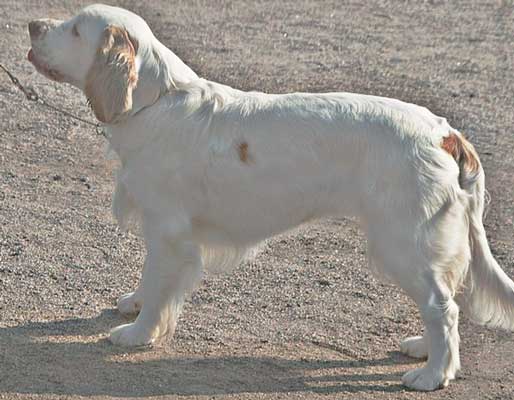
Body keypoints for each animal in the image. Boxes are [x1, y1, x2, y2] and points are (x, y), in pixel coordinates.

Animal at [27, 3, 512, 390]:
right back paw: (422, 349)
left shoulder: (170, 233)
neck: (156, 101)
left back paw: (432, 375)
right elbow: (149, 279)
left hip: (401, 243)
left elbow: (160, 286)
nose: (31, 25)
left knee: (443, 308)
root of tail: (444, 133)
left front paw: (136, 333)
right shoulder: (159, 230)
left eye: (76, 29)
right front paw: (135, 303)